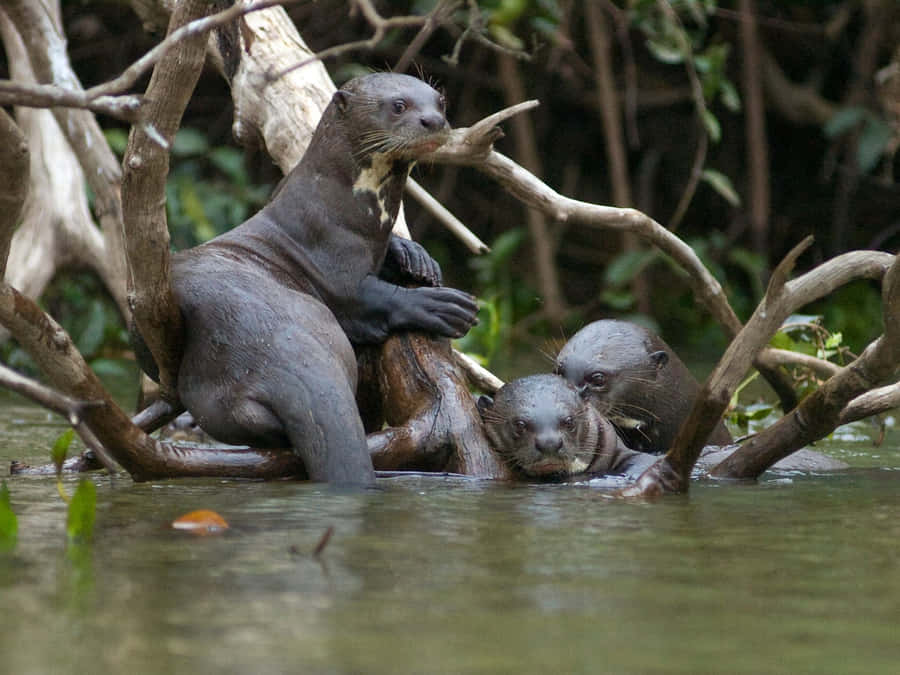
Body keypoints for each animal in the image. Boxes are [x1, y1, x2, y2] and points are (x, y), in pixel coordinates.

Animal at [136, 74, 478, 486]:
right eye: (399, 105)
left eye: (439, 101)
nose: (434, 121)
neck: (338, 204)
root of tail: (277, 355)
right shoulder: (332, 264)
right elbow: (369, 298)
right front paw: (443, 304)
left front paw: (416, 257)